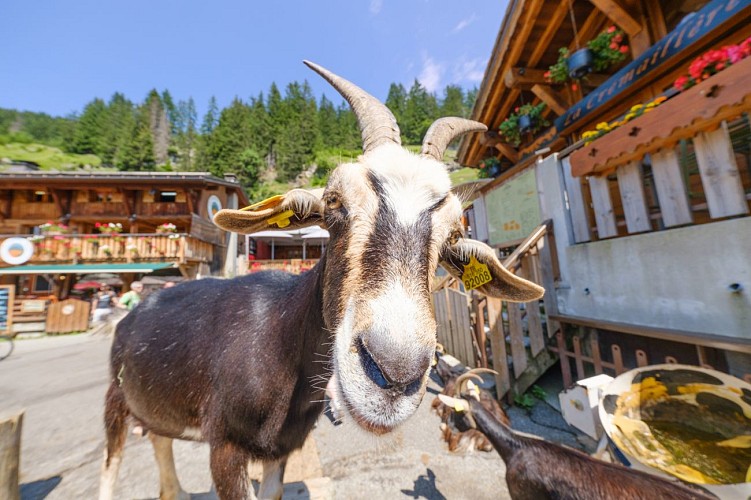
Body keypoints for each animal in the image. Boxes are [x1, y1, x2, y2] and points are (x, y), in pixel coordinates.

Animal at [99, 61, 544, 500]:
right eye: (332, 201)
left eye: (453, 236)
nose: (394, 374)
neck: (278, 339)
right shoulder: (225, 447)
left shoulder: (281, 448)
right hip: (115, 402)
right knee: (111, 467)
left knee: (159, 441)